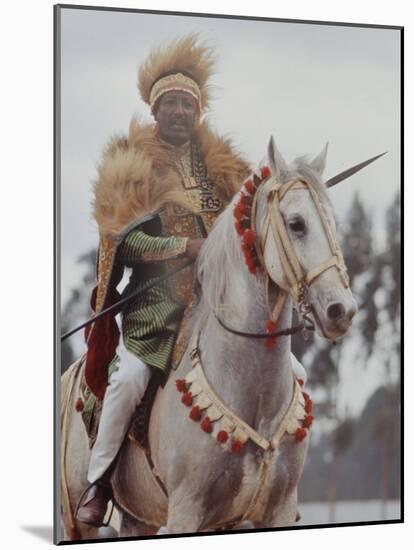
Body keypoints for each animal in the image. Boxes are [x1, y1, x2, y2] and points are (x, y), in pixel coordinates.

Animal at [59, 139, 358, 544]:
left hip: (139, 517)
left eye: (334, 224)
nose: (341, 310)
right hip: (77, 521)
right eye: (297, 223)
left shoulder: (276, 510)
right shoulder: (186, 512)